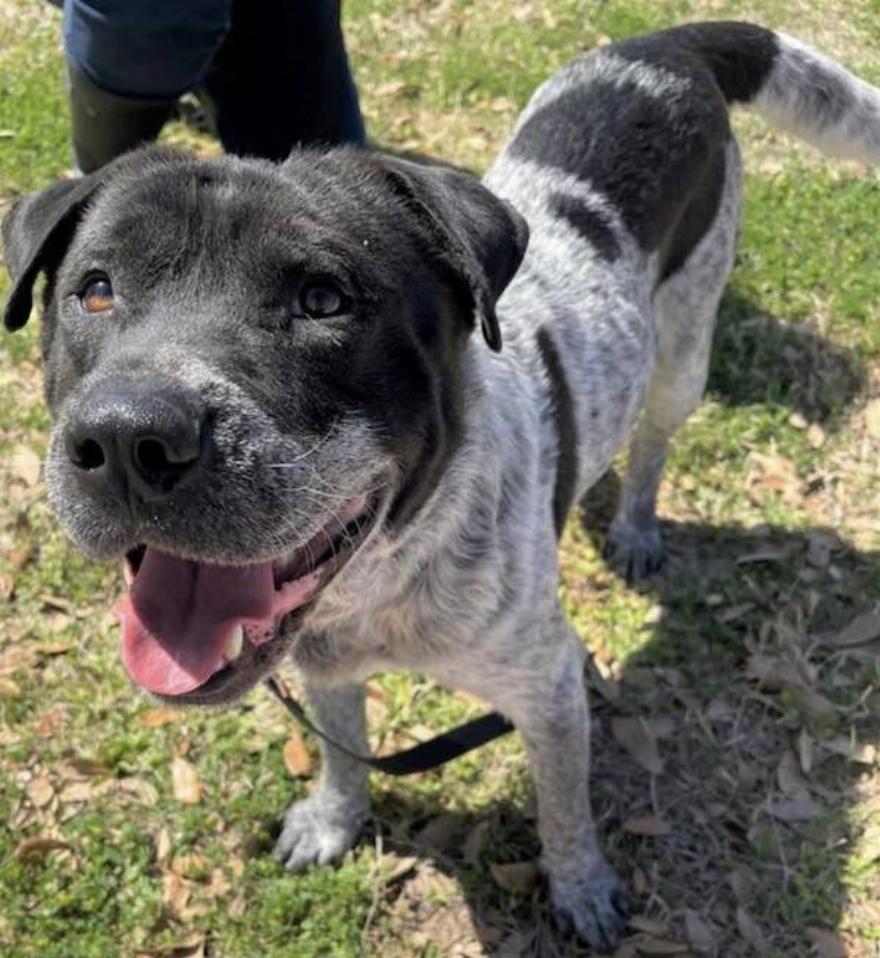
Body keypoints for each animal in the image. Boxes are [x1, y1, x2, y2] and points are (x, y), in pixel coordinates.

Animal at [4, 20, 880, 951]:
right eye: (96, 291)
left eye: (324, 299)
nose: (126, 438)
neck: (385, 575)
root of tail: (673, 46)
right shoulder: (324, 665)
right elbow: (343, 751)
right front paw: (334, 822)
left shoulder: (550, 687)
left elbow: (564, 810)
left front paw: (581, 888)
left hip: (687, 345)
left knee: (653, 442)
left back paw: (636, 528)